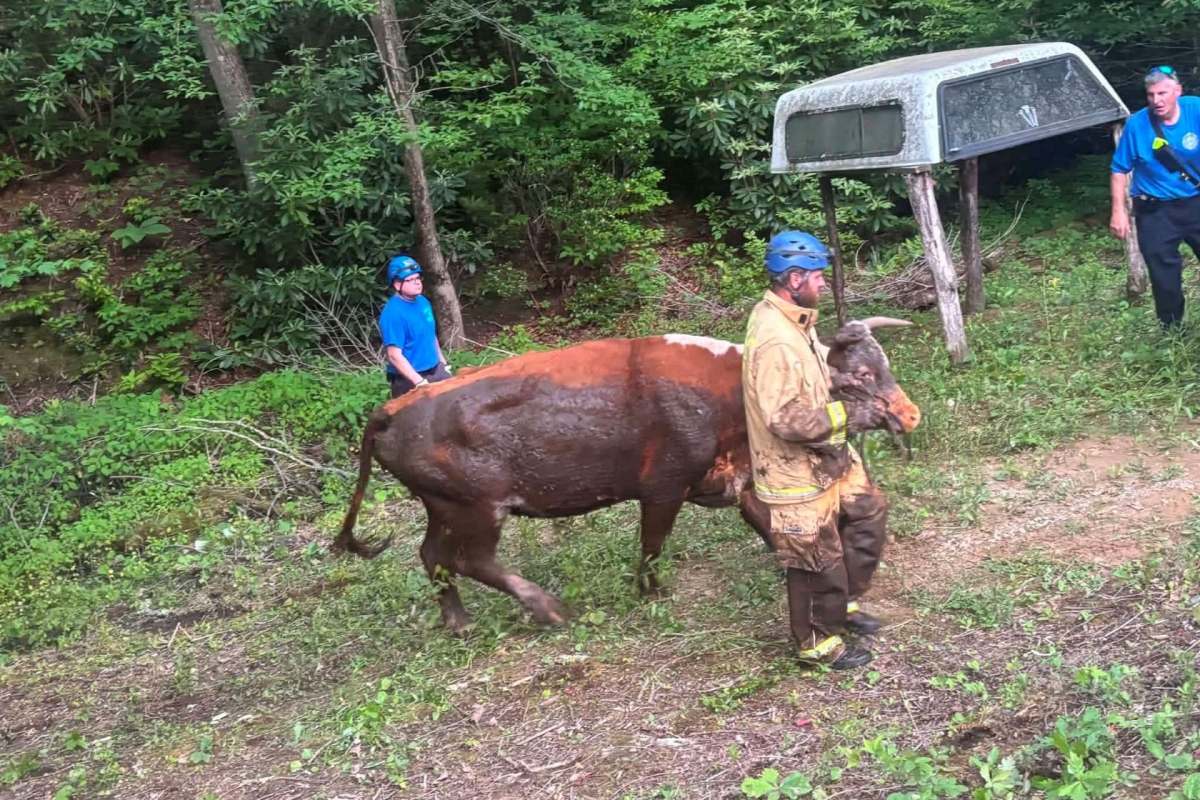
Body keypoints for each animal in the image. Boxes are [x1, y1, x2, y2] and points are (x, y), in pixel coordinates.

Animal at [334, 319, 920, 633]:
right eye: (861, 374)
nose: (910, 414)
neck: (731, 391)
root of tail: (395, 408)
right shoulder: (663, 487)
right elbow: (653, 544)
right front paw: (650, 589)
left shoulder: (736, 479)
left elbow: (766, 524)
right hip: (478, 508)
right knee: (469, 559)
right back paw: (548, 607)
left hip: (442, 506)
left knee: (432, 555)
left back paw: (457, 620)